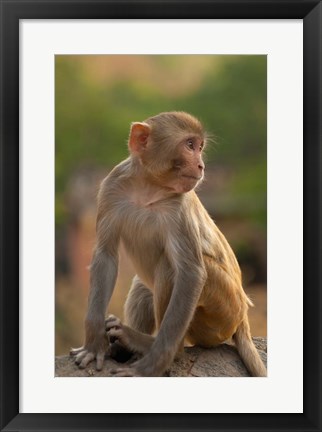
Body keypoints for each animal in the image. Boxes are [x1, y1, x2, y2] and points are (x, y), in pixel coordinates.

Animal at [70, 112, 266, 378]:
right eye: (190, 145)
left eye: (199, 147)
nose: (201, 165)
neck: (149, 186)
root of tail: (243, 318)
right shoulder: (111, 187)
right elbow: (105, 255)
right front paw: (93, 345)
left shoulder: (179, 206)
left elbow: (191, 273)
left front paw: (149, 367)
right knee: (144, 286)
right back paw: (122, 346)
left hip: (223, 311)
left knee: (170, 267)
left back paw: (151, 345)